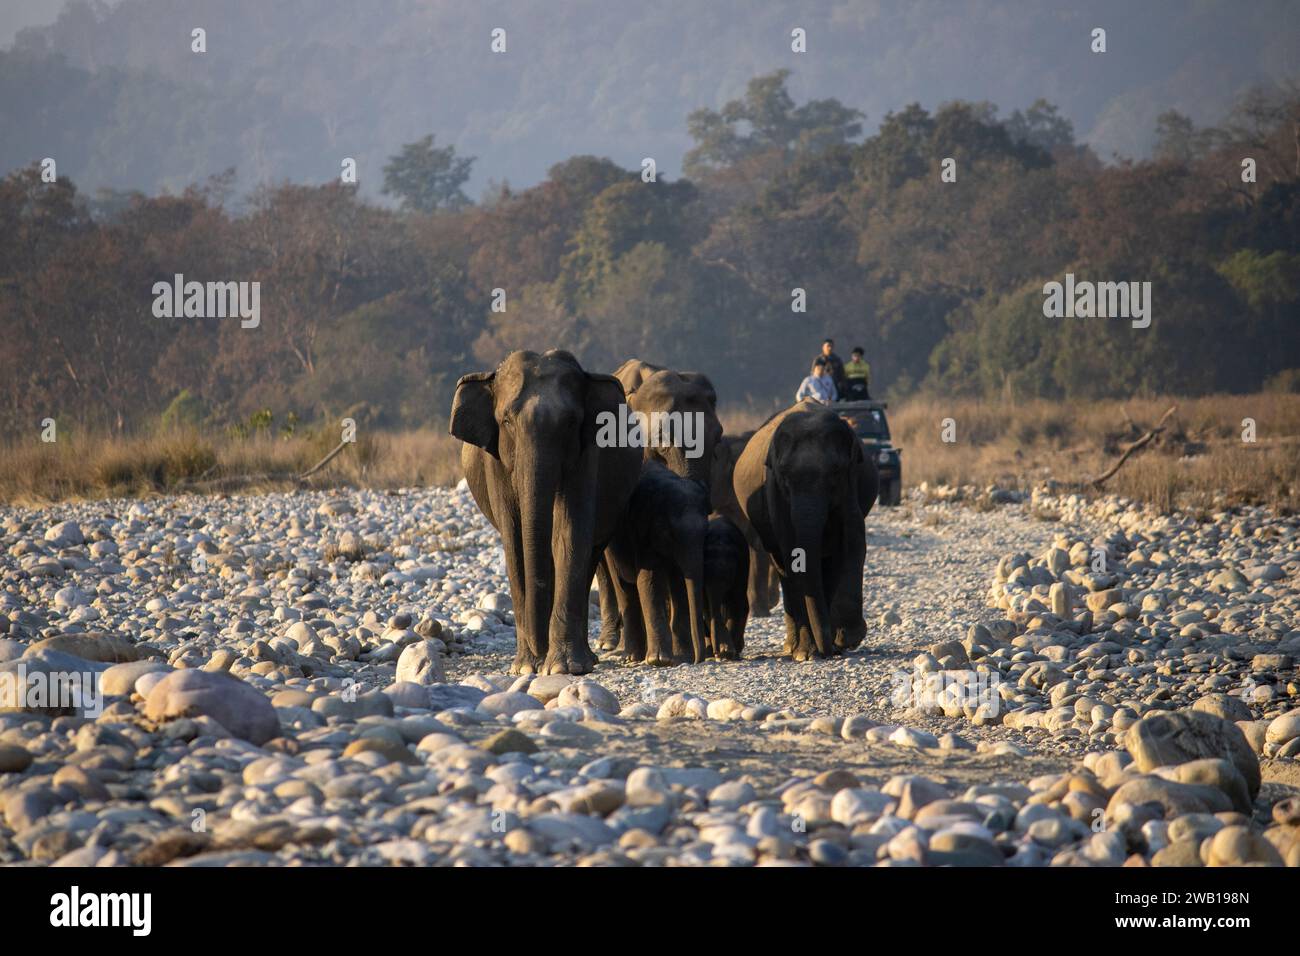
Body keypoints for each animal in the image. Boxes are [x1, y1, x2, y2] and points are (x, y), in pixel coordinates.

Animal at [449, 348, 642, 671]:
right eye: (506, 421)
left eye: (571, 422)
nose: (538, 649)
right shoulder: (495, 461)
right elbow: (514, 539)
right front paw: (526, 666)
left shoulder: (587, 455)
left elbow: (569, 531)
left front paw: (563, 667)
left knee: (589, 554)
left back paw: (584, 658)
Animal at [738, 400, 878, 660]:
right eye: (784, 476)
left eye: (835, 471)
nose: (828, 652)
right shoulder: (775, 492)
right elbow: (793, 553)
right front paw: (808, 652)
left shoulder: (850, 482)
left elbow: (853, 539)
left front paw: (846, 638)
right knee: (784, 568)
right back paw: (795, 648)